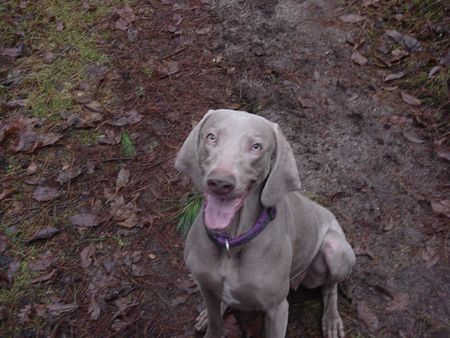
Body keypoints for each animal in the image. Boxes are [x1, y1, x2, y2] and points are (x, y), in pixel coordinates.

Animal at [175, 109, 356, 336]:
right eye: (211, 137)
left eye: (256, 146)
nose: (220, 183)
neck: (231, 242)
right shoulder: (206, 286)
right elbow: (216, 322)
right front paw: (211, 318)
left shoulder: (277, 308)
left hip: (334, 249)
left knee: (330, 286)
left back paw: (331, 320)